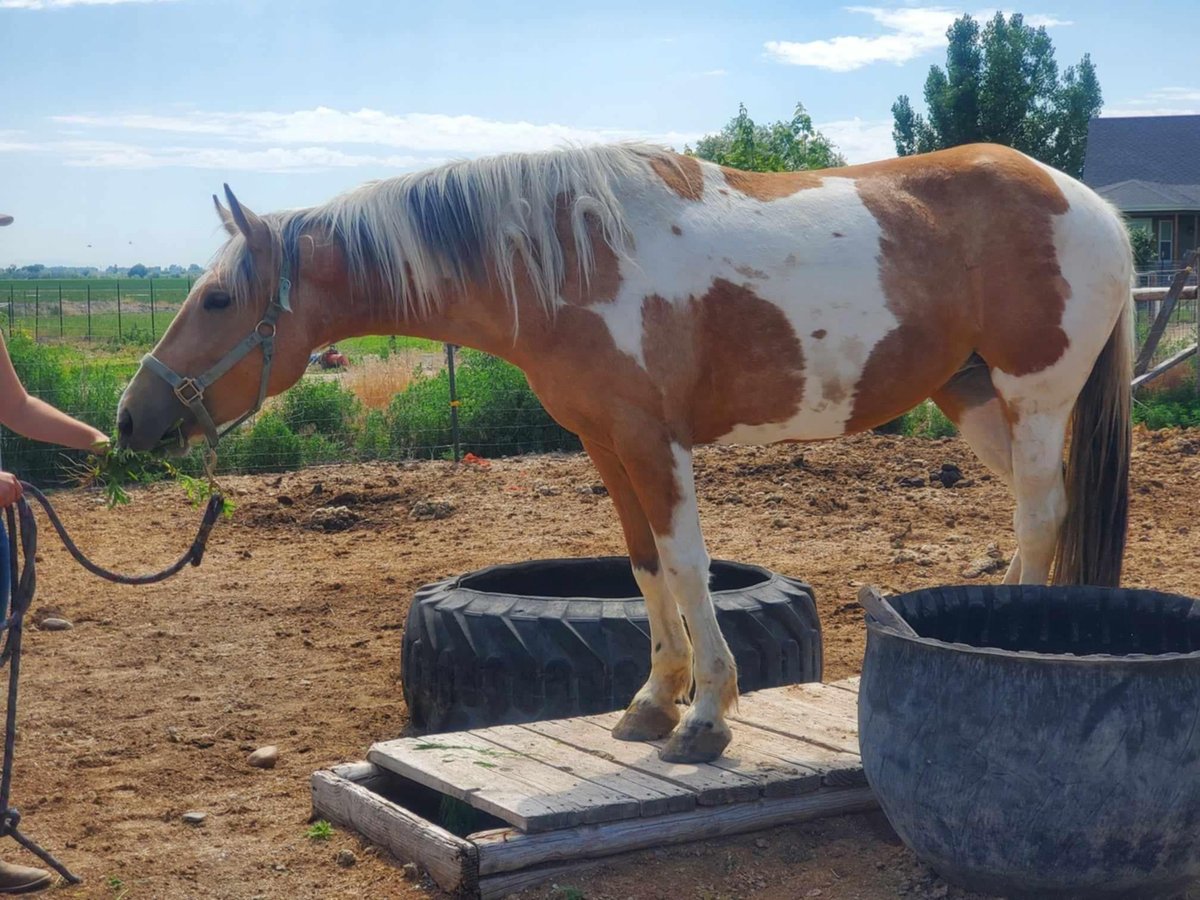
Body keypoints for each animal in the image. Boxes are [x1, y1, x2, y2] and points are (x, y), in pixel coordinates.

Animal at [117, 141, 1137, 763]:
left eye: (217, 300)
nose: (131, 419)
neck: (565, 262)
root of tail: (1093, 206)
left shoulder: (656, 441)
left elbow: (687, 566)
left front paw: (707, 715)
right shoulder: (606, 445)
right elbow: (643, 567)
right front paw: (655, 699)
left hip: (1036, 398)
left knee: (1041, 518)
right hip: (975, 399)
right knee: (1035, 518)